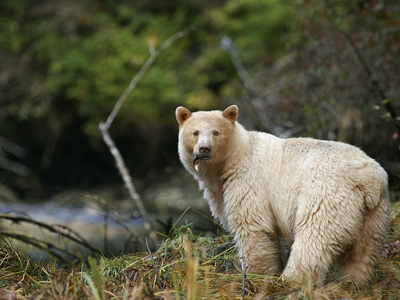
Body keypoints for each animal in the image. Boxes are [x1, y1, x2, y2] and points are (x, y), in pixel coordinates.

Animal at [176, 105, 390, 286]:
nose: (204, 148)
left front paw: (256, 274)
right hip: (374, 212)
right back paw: (352, 281)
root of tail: (368, 180)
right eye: (195, 132)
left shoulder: (248, 181)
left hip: (326, 195)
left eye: (216, 132)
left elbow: (253, 226)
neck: (234, 158)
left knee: (314, 238)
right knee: (362, 251)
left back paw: (293, 280)